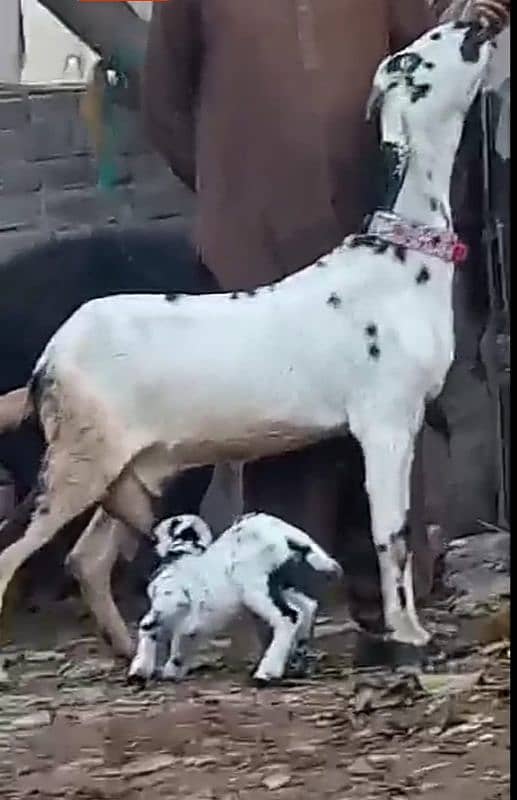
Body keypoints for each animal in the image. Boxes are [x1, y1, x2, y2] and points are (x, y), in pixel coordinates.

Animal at [0, 23, 494, 664]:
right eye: (414, 59)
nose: (476, 24)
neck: (398, 258)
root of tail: (48, 360)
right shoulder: (384, 424)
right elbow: (392, 535)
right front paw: (408, 634)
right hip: (72, 464)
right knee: (11, 555)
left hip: (136, 468)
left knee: (88, 558)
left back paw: (131, 651)